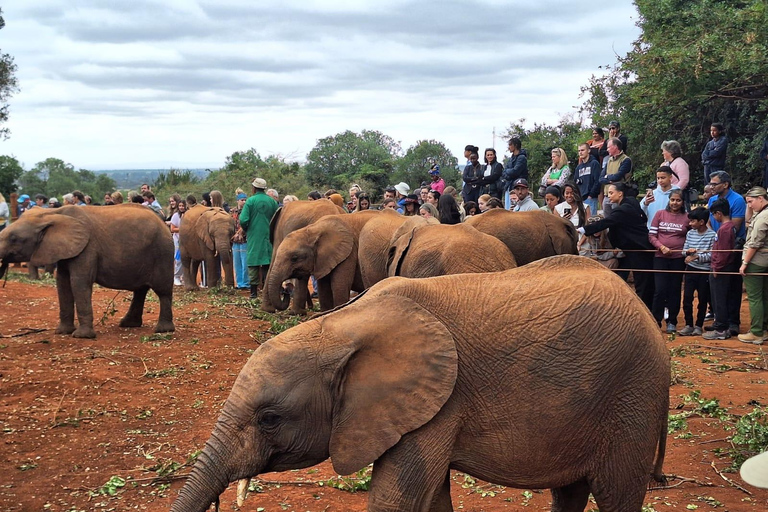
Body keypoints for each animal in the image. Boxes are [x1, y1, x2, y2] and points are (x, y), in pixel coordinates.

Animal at [0, 204, 175, 340]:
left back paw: (163, 330)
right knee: (140, 290)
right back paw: (129, 324)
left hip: (163, 251)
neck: (52, 213)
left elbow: (79, 282)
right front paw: (62, 332)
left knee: (163, 291)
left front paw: (81, 336)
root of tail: (163, 221)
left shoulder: (87, 248)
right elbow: (62, 283)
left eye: (14, 238)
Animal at [171, 258, 668, 512]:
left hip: (632, 397)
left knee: (616, 494)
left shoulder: (439, 402)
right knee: (570, 493)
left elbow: (395, 499)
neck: (343, 324)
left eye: (270, 419)